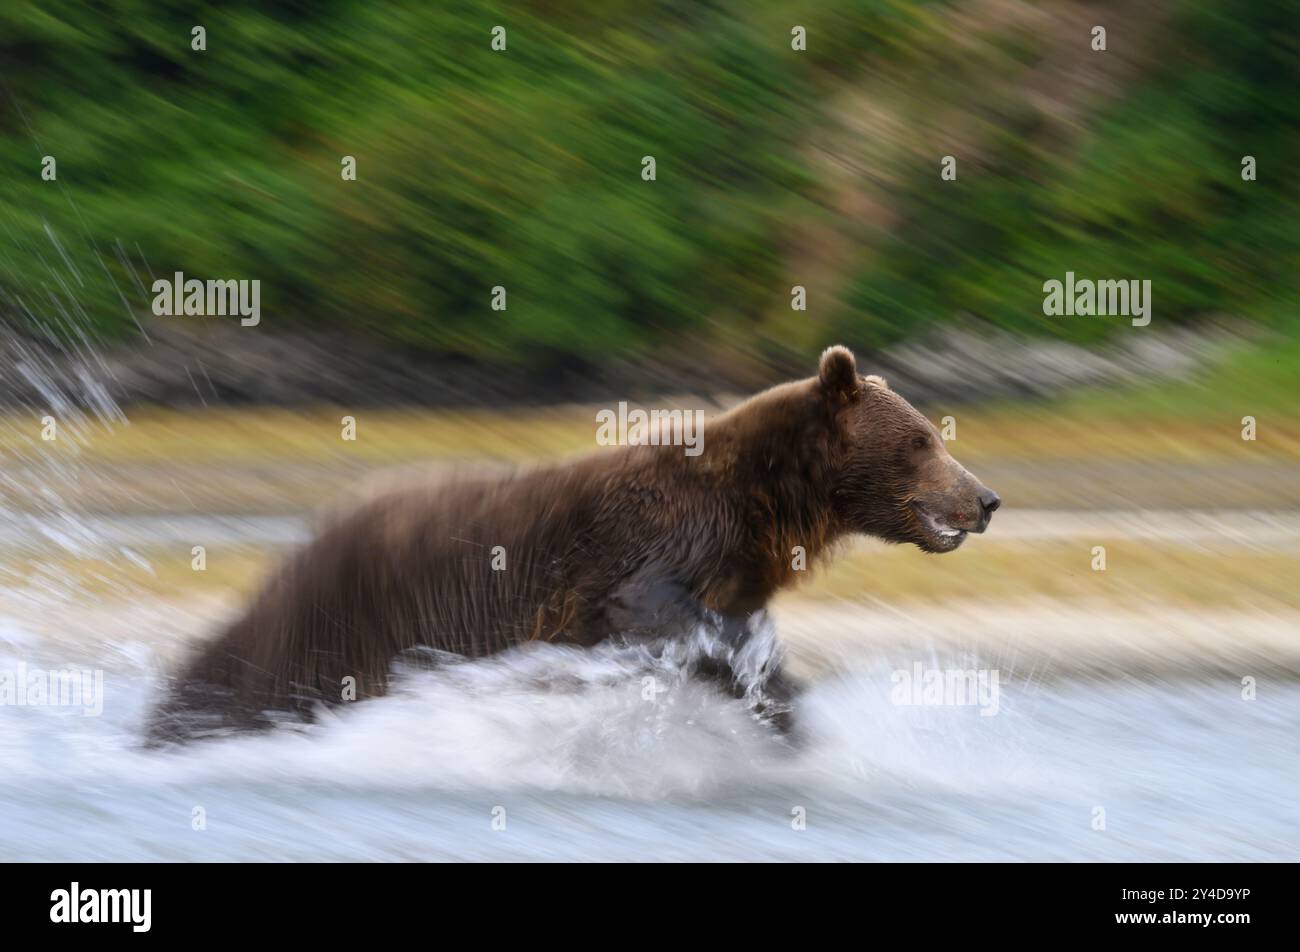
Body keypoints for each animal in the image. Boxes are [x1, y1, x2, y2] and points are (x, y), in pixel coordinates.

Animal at [149, 348, 993, 743]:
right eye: (923, 439)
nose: (984, 499)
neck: (766, 506)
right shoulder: (649, 542)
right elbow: (652, 611)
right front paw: (761, 687)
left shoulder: (735, 567)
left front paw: (778, 704)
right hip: (349, 615)